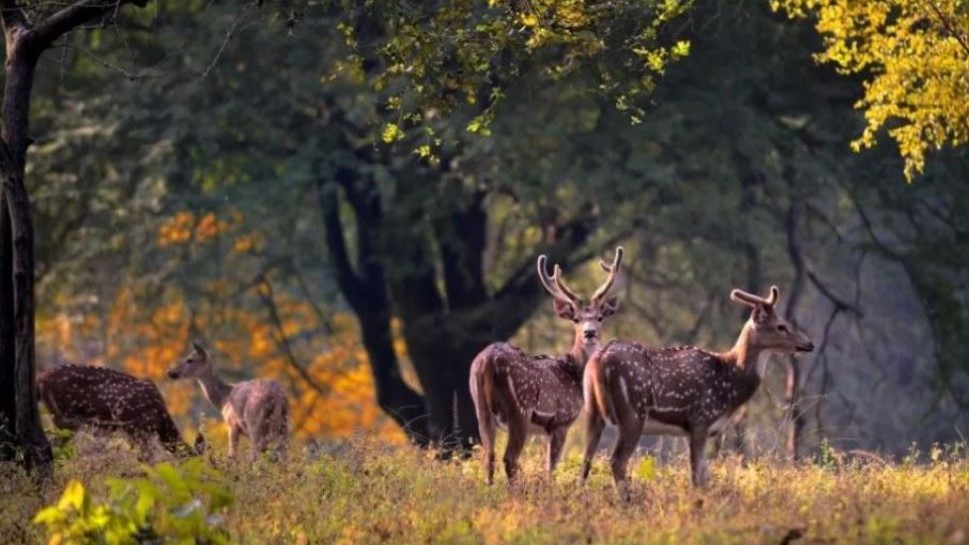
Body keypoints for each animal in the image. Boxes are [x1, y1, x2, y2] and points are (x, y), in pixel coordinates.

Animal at [470, 245, 628, 480]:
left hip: (480, 408)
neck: (574, 374)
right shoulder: (561, 420)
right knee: (509, 458)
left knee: (488, 458)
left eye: (600, 317)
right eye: (576, 319)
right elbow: (551, 468)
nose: (589, 333)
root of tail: (487, 362)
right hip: (520, 410)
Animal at [580, 284, 812, 498]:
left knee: (586, 458)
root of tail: (599, 359)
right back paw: (627, 500)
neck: (730, 382)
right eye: (781, 326)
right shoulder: (701, 418)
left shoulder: (690, 429)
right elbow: (697, 477)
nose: (809, 343)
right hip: (633, 413)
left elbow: (704, 475)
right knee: (617, 460)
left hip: (592, 409)